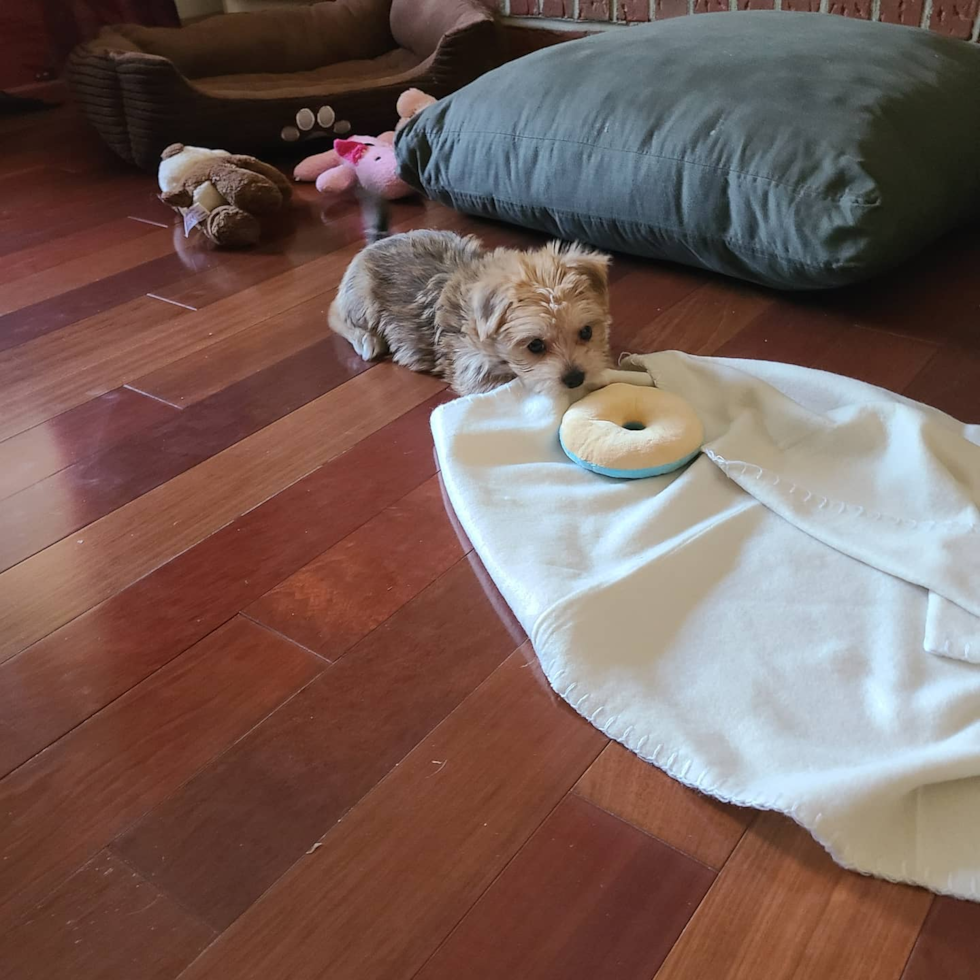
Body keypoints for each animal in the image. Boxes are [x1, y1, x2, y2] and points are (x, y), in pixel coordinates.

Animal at [334, 228, 616, 396]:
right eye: (535, 345)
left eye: (587, 332)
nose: (575, 378)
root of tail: (378, 239)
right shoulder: (473, 370)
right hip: (361, 297)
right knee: (337, 318)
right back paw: (367, 340)